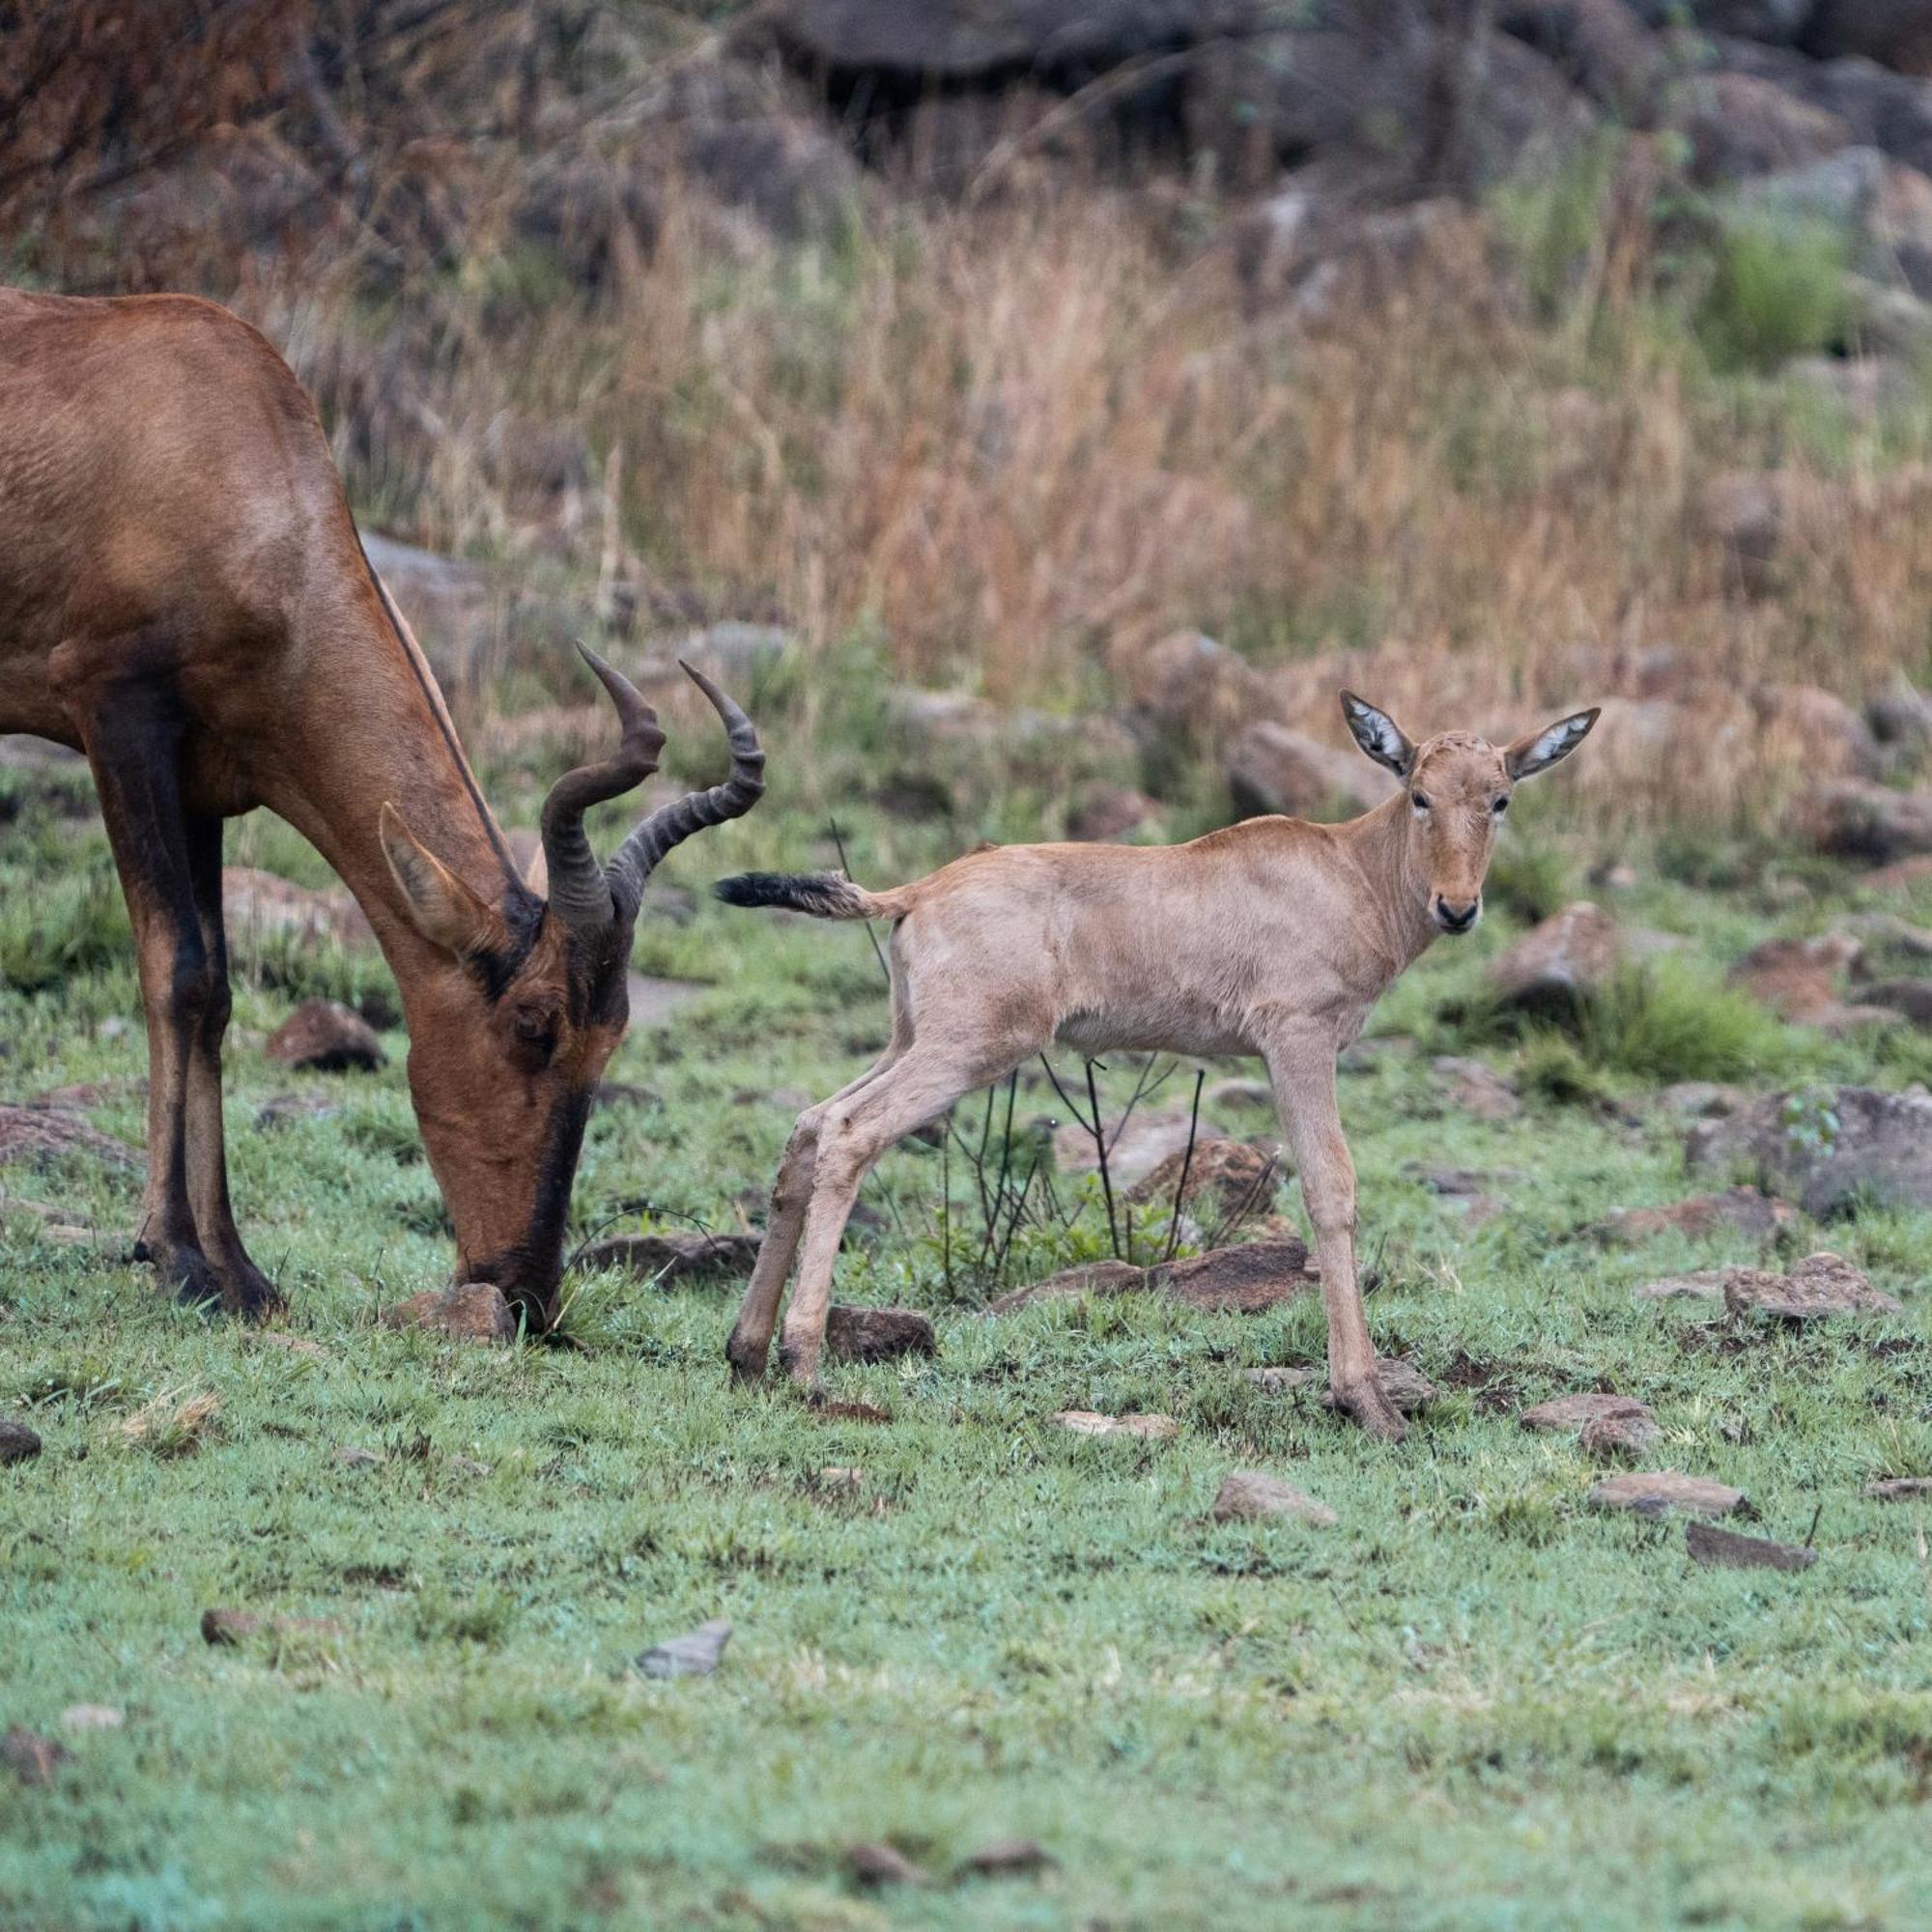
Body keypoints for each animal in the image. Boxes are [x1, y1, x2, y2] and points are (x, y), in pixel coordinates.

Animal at [0, 290, 761, 1329]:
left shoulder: (202, 778)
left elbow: (220, 995)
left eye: (616, 1034)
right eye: (533, 1023)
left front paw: (241, 1271)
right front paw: (179, 1258)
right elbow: (178, 971)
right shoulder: (116, 712)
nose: (523, 1287)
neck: (226, 436)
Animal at [719, 696, 1592, 1437]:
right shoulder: (1298, 1044)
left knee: (807, 1126)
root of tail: (920, 889)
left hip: (910, 1041)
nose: (1458, 908)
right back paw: (804, 1366)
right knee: (848, 1131)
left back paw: (748, 1353)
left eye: (1500, 798)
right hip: (965, 1051)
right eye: (1418, 792)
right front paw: (1368, 1403)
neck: (1346, 869)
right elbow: (1330, 1190)